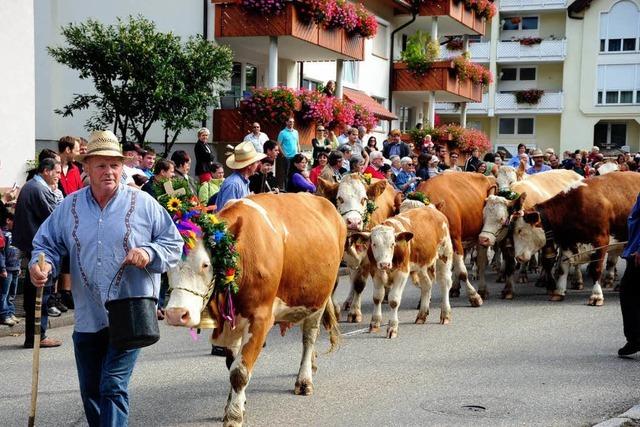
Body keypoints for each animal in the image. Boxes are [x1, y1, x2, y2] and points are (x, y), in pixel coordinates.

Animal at [162, 180, 348, 427]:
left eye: (205, 265)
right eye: (168, 265)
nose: (175, 314)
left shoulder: (260, 319)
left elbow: (240, 372)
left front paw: (234, 415)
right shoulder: (231, 321)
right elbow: (232, 365)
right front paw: (235, 404)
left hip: (320, 299)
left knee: (309, 338)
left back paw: (304, 380)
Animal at [316, 176, 398, 322]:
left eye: (364, 199)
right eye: (340, 198)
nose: (354, 222)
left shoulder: (367, 258)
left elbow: (359, 284)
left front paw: (355, 312)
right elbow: (336, 283)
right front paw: (335, 311)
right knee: (351, 275)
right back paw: (349, 301)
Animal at [350, 206, 456, 340]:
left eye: (392, 244)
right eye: (374, 244)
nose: (384, 264)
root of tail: (432, 209)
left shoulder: (402, 273)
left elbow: (394, 300)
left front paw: (392, 327)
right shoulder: (375, 271)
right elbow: (377, 298)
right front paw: (374, 323)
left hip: (444, 255)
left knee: (445, 283)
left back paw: (445, 314)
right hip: (421, 265)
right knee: (426, 285)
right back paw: (421, 315)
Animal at [416, 171, 490, 304]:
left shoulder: (455, 239)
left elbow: (462, 272)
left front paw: (474, 296)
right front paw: (424, 300)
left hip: (480, 237)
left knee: (481, 261)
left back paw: (482, 290)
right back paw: (455, 288)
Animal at [512, 172, 640, 306]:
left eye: (520, 230)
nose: (518, 257)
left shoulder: (601, 242)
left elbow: (596, 269)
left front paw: (596, 295)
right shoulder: (568, 243)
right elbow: (562, 268)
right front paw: (559, 292)